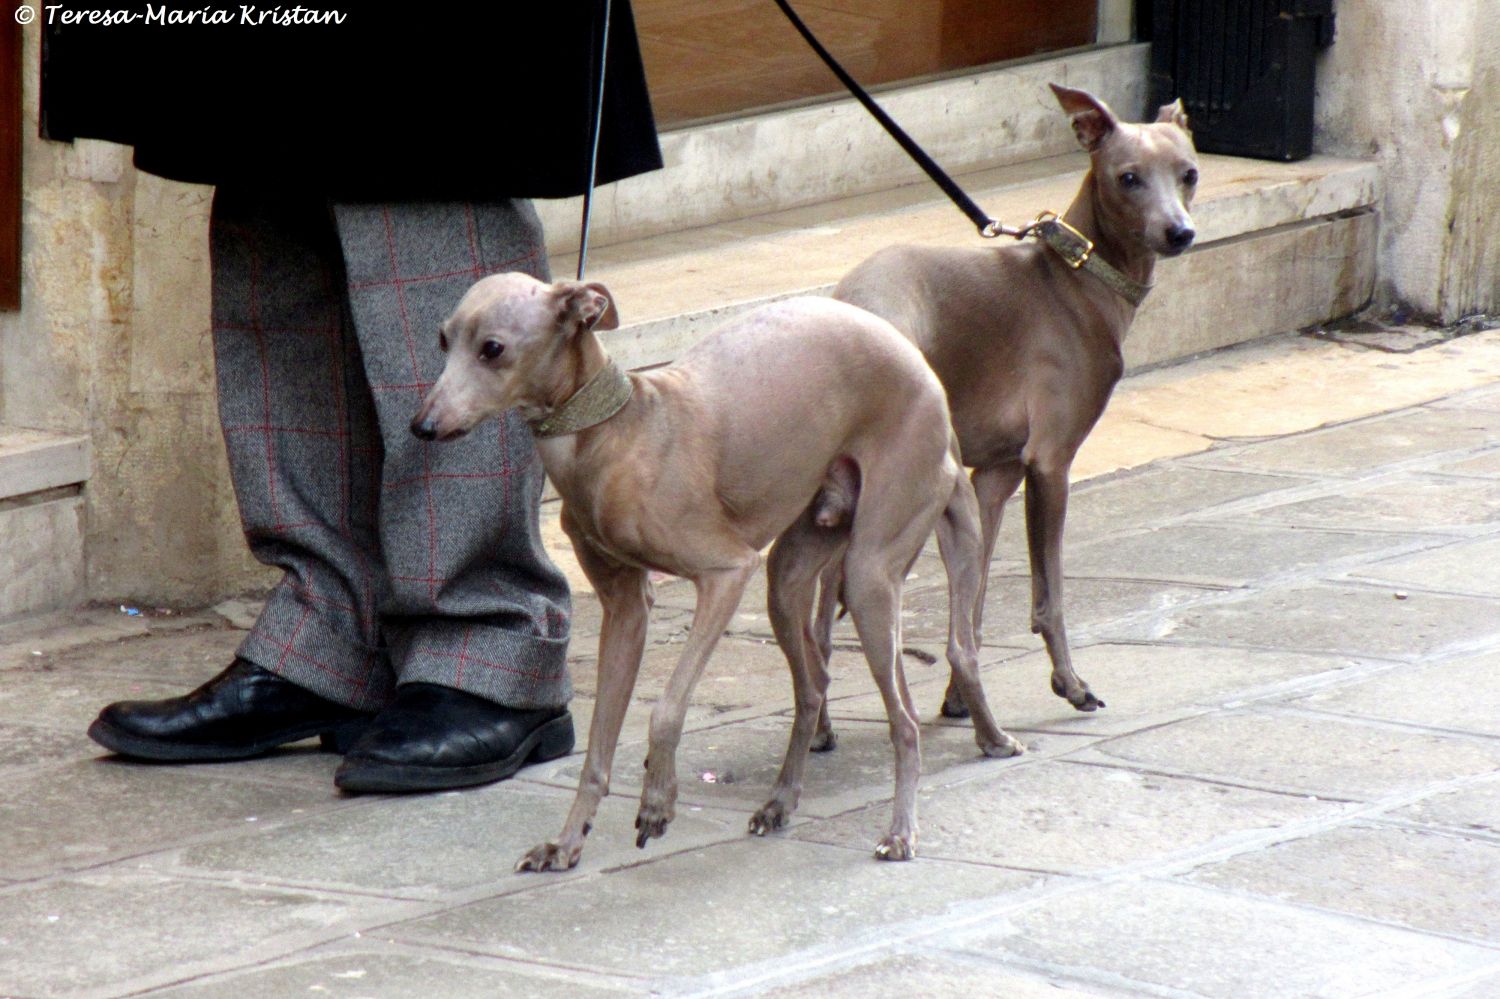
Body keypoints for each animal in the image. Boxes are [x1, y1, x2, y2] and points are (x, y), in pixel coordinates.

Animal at [411, 273, 1020, 864]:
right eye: (442, 340)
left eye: (493, 349)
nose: (422, 426)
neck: (615, 435)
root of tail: (918, 362)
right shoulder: (625, 611)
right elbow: (598, 749)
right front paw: (567, 842)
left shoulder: (727, 572)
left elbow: (666, 708)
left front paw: (657, 802)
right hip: (789, 577)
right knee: (814, 688)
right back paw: (781, 802)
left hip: (872, 568)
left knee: (910, 714)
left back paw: (903, 827)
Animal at [816, 83, 1200, 723]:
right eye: (1128, 178)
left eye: (1189, 173)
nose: (1179, 233)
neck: (1078, 274)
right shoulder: (1050, 463)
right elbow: (1050, 595)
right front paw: (1070, 683)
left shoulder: (993, 477)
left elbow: (971, 607)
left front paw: (957, 697)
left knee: (815, 619)